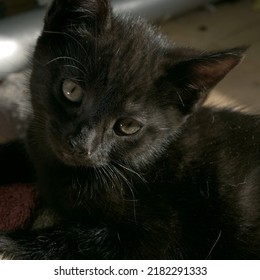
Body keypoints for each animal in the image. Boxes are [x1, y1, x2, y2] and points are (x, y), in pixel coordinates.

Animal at [0, 0, 260, 260]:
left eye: (127, 126)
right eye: (71, 90)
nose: (81, 145)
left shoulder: (160, 237)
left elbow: (76, 242)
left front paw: (8, 244)